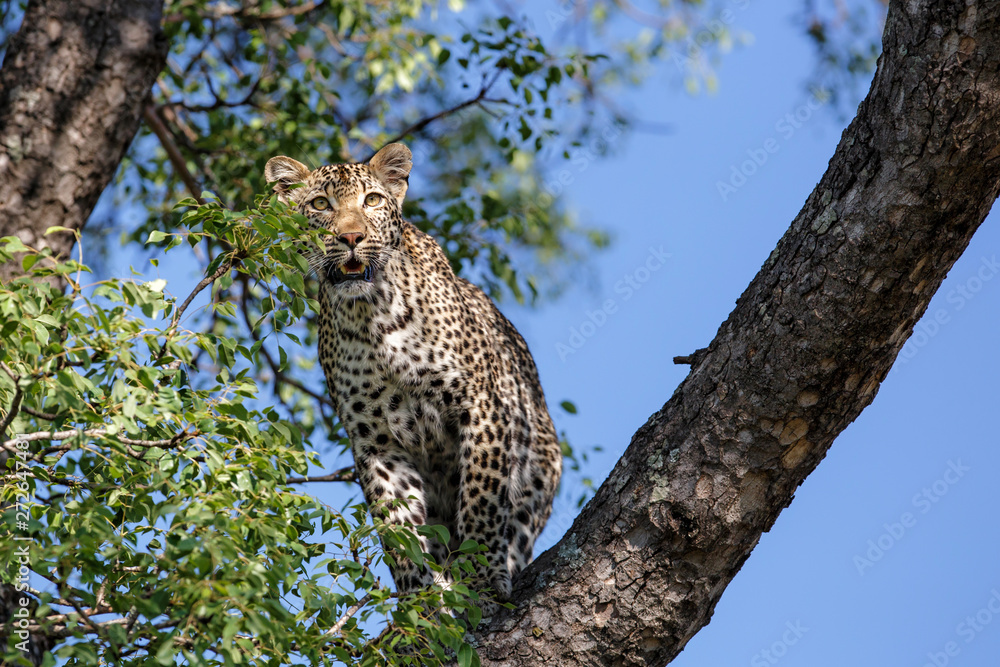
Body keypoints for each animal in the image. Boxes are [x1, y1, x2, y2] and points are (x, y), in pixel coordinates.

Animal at [264, 144, 562, 602]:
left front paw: (481, 575)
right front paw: (421, 602)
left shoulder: (481, 405)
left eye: (372, 201)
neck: (372, 315)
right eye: (320, 205)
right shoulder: (376, 442)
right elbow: (398, 528)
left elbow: (482, 497)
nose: (351, 238)